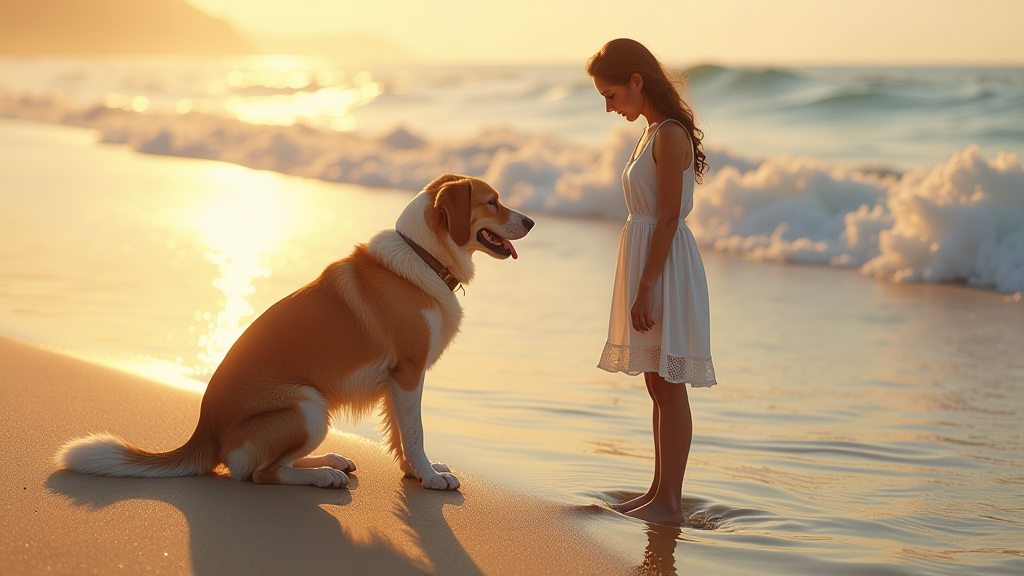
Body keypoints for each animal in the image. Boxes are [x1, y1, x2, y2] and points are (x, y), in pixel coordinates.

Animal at [56, 171, 536, 487]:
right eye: (492, 201)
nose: (531, 221)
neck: (423, 256)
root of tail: (205, 434)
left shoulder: (399, 382)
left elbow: (401, 434)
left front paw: (416, 472)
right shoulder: (408, 372)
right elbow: (415, 431)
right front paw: (431, 476)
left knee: (269, 467)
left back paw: (331, 462)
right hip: (309, 405)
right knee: (260, 473)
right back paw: (322, 476)